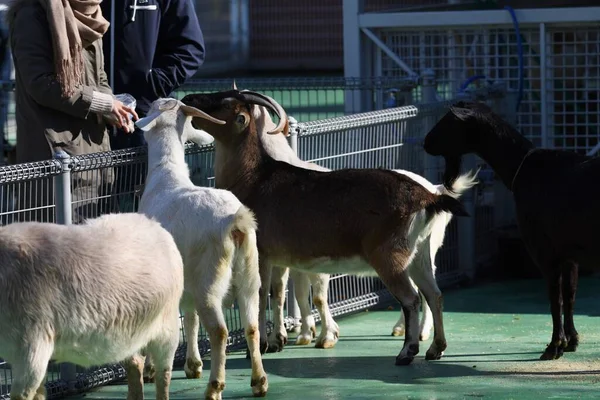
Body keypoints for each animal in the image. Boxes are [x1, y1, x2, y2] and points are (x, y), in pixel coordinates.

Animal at [0, 214, 184, 400]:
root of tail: (156, 224)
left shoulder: (32, 347)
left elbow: (22, 394)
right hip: (129, 333)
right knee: (135, 363)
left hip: (167, 327)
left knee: (164, 373)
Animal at [137, 97, 268, 400]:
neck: (166, 174)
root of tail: (236, 223)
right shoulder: (184, 280)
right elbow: (190, 318)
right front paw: (193, 364)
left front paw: (150, 369)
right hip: (248, 274)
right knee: (252, 326)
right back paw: (259, 381)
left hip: (210, 280)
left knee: (220, 331)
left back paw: (214, 387)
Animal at [182, 90, 468, 366]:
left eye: (224, 103)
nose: (188, 98)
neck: (254, 178)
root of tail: (428, 196)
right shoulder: (278, 258)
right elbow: (278, 293)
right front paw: (276, 342)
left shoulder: (260, 252)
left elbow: (260, 295)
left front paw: (261, 347)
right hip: (420, 253)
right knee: (434, 294)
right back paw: (435, 349)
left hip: (390, 256)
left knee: (411, 298)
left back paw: (407, 352)